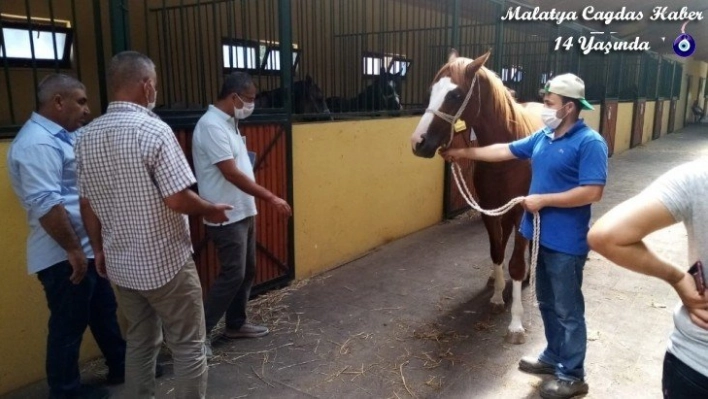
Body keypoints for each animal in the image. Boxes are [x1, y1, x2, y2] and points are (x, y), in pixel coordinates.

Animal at [410, 49, 544, 344]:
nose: (418, 142)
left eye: (456, 94)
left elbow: (516, 264)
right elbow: (496, 252)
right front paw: (496, 296)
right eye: (432, 91)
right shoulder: (489, 209)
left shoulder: (521, 210)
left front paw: (515, 324)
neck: (506, 153)